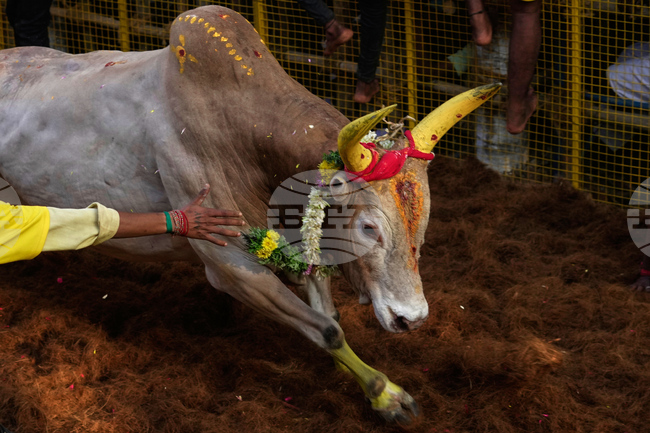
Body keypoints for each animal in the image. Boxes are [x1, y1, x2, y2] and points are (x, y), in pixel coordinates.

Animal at [0, 5, 499, 423]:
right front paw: (385, 394)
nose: (410, 318)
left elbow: (330, 319)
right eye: (368, 226)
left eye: (424, 221)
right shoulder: (231, 267)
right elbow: (327, 330)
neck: (241, 130)